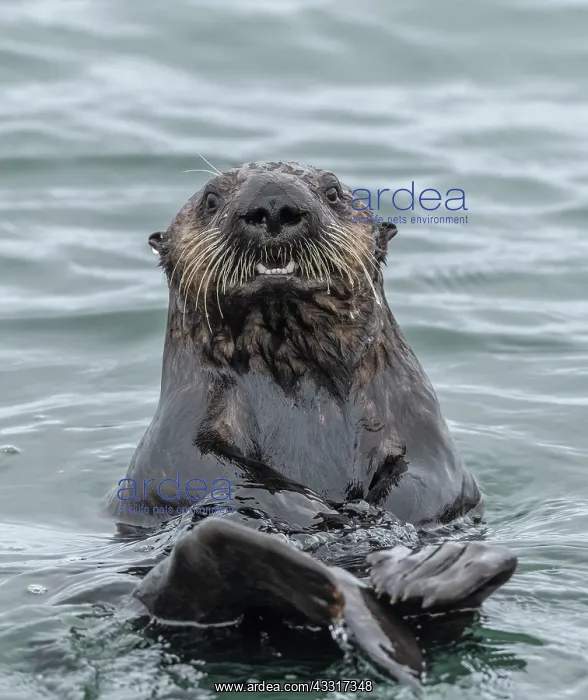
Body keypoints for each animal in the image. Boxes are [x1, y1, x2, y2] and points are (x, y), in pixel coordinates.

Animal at [107, 161, 517, 687]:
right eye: (211, 199)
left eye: (334, 192)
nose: (272, 203)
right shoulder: (172, 441)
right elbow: (196, 471)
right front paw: (320, 514)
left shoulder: (426, 431)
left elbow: (435, 482)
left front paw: (374, 519)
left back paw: (421, 576)